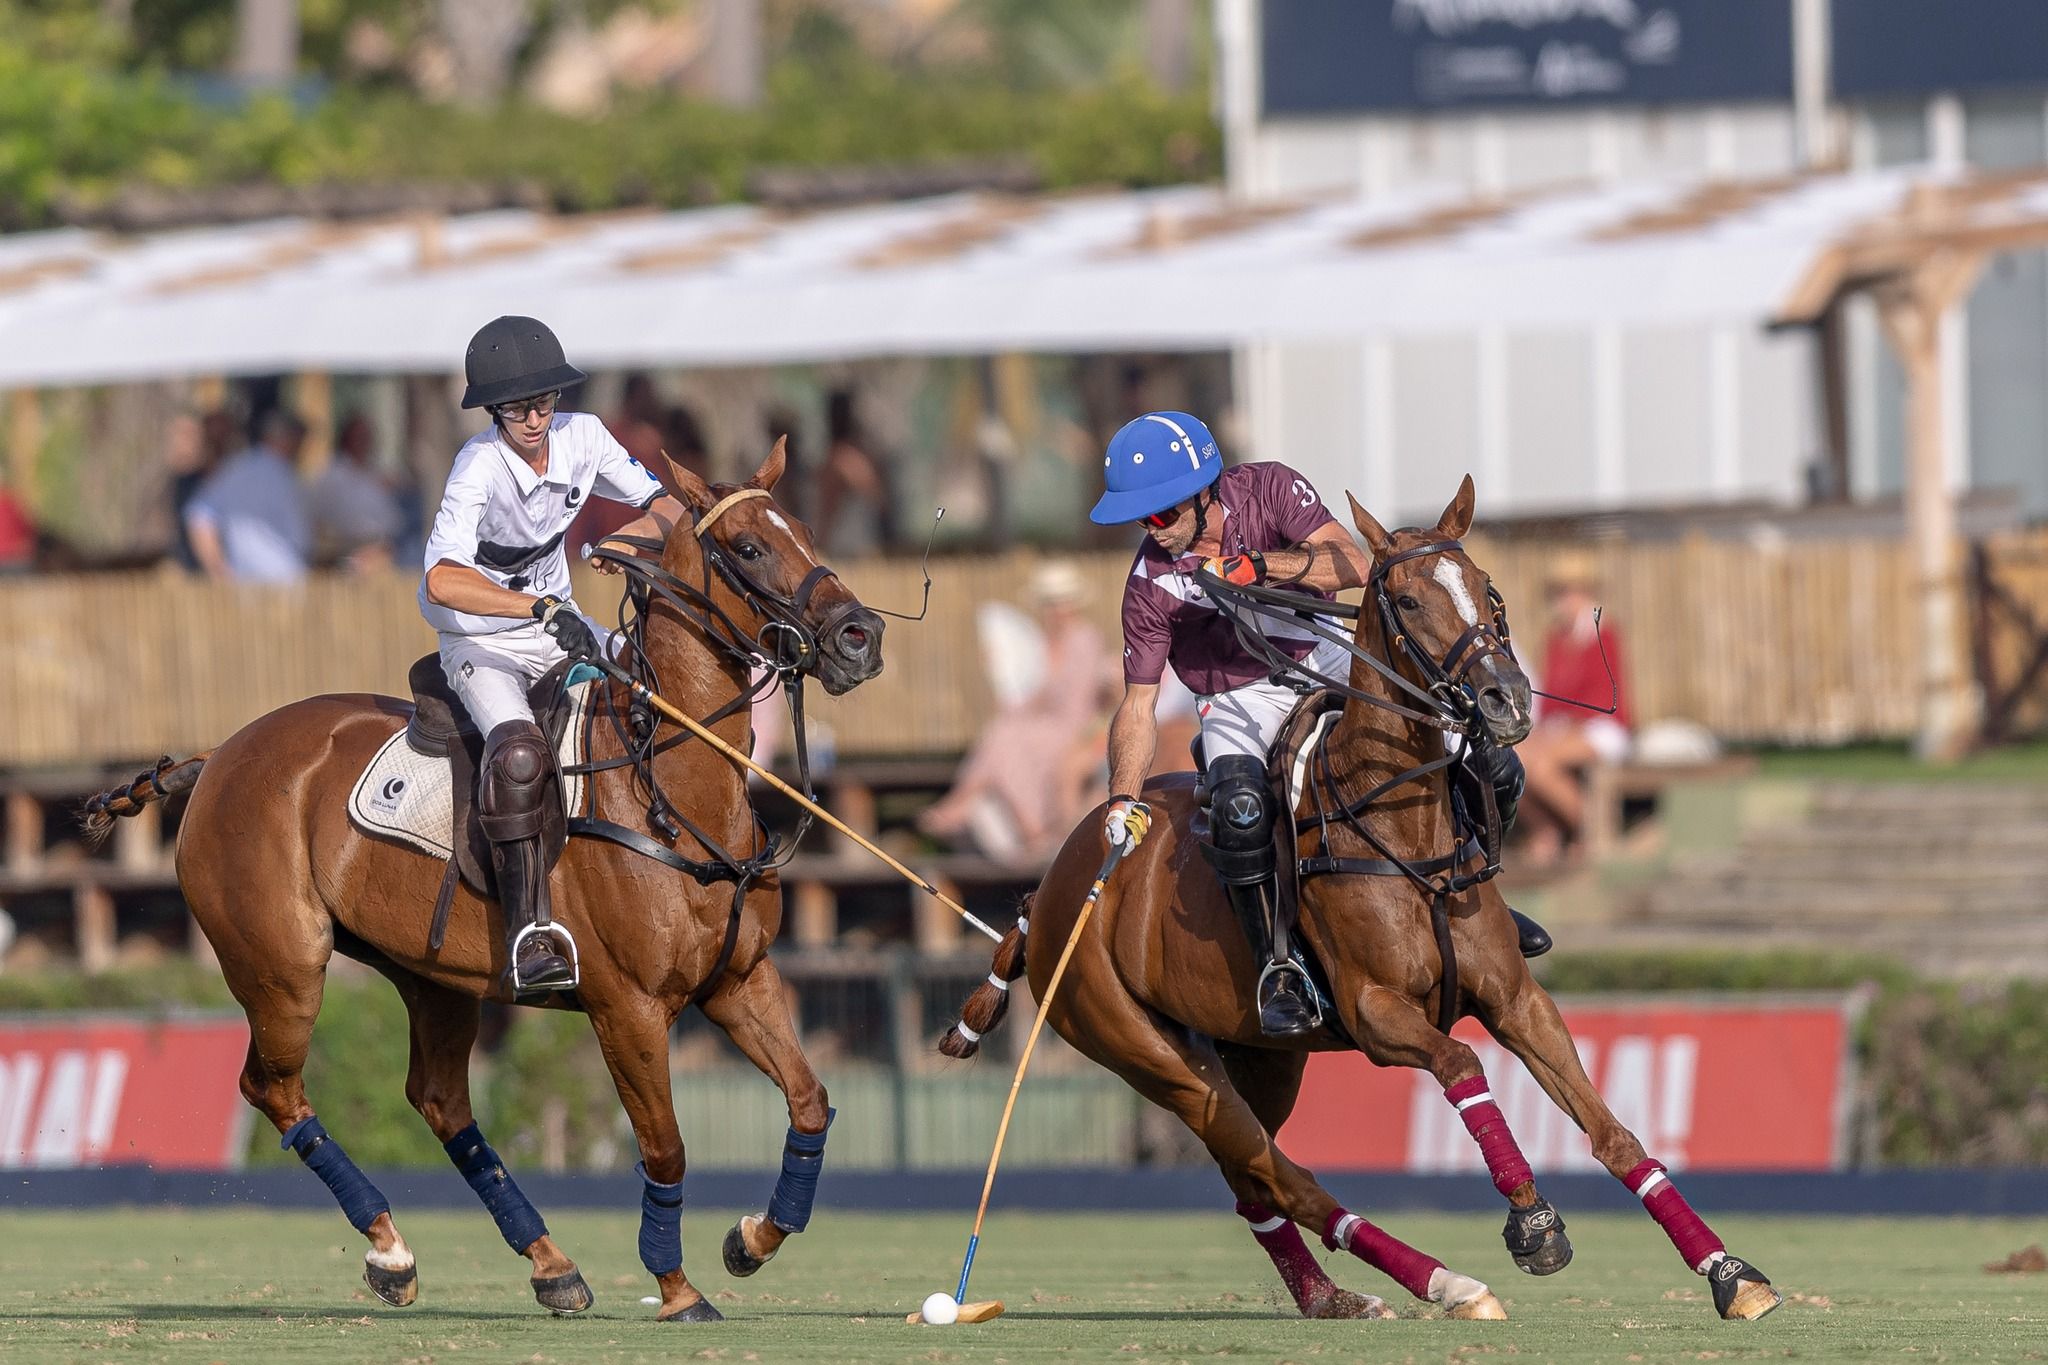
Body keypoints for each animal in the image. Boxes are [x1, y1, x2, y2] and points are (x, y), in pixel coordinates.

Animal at [83, 439, 880, 1326]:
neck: (670, 786)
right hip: (280, 967)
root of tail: (216, 755)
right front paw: (677, 1289)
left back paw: (551, 1264)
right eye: (746, 546)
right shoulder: (628, 1006)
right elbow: (665, 1144)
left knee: (439, 1100)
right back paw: (391, 1249)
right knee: (275, 1088)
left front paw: (750, 1239)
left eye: (802, 528)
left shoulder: (739, 979)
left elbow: (810, 1099)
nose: (861, 636)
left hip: (431, 975)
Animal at [942, 478, 1777, 1326]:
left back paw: (1331, 1295)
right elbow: (1462, 1061)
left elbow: (1611, 1131)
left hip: (1257, 1055)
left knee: (1251, 1178)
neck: (1407, 826)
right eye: (1406, 601)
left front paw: (1730, 1272)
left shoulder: (1516, 996)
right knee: (1283, 1173)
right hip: (1147, 1052)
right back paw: (1446, 1281)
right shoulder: (1376, 1011)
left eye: (1487, 588)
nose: (1506, 701)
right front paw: (1533, 1223)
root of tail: (1055, 882)